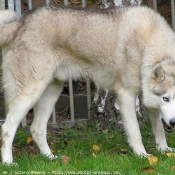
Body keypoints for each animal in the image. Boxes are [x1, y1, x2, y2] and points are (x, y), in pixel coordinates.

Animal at [0, 5, 175, 164]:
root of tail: (21, 22)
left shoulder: (148, 100)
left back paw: (51, 158)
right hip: (29, 94)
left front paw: (164, 150)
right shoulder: (126, 95)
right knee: (7, 129)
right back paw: (9, 163)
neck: (149, 43)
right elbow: (135, 132)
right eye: (166, 99)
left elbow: (159, 130)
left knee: (36, 129)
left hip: (51, 94)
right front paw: (143, 156)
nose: (174, 122)